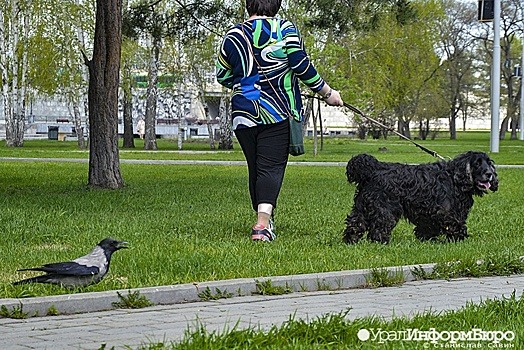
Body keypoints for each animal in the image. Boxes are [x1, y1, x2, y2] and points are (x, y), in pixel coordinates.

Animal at [346, 152, 498, 245]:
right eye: (477, 163)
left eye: (488, 163)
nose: (489, 174)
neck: (454, 178)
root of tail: (374, 169)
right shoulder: (444, 212)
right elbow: (454, 225)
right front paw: (458, 240)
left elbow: (428, 227)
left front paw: (427, 240)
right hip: (385, 209)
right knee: (379, 228)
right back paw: (381, 243)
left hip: (362, 207)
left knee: (355, 224)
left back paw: (350, 241)